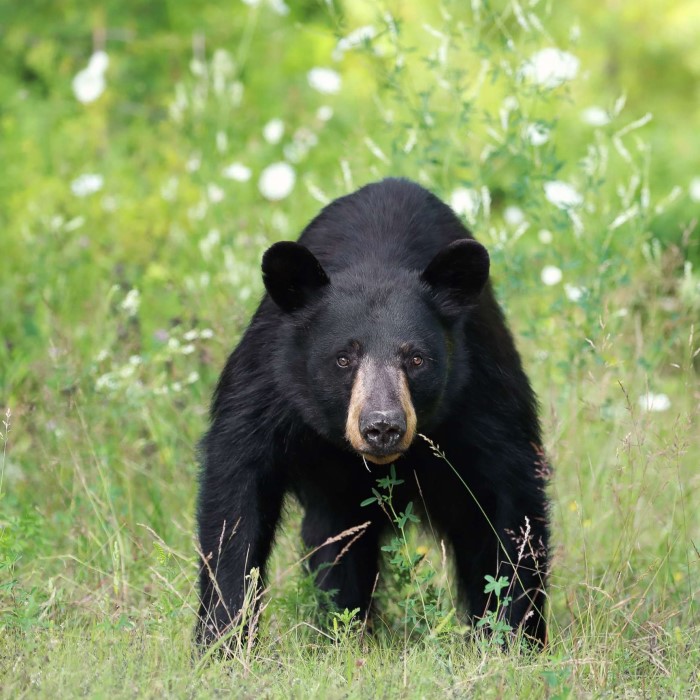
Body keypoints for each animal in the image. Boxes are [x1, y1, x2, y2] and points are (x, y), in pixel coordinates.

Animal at [196, 178, 550, 650]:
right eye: (344, 358)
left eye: (417, 359)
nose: (383, 427)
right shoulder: (269, 386)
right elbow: (236, 502)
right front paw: (221, 640)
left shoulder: (480, 391)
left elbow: (511, 504)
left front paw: (513, 637)